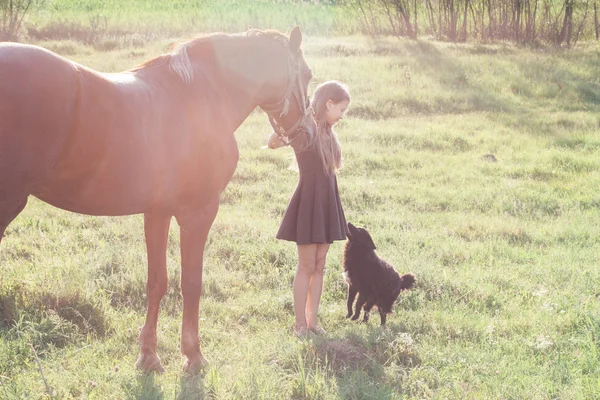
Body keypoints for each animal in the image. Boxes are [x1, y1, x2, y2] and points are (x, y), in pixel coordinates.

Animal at [0, 26, 318, 374]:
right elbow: (191, 283)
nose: (309, 134)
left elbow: (157, 282)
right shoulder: (199, 213)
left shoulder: (157, 212)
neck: (203, 96)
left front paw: (149, 355)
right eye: (307, 74)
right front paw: (193, 354)